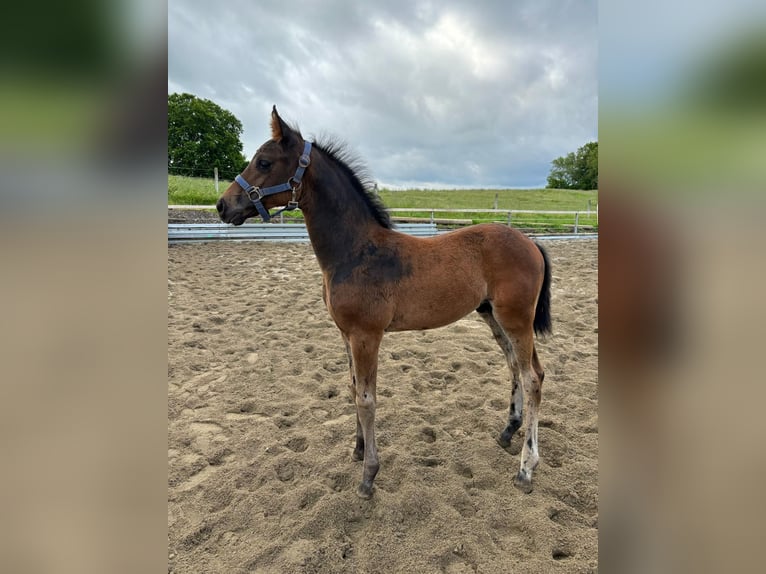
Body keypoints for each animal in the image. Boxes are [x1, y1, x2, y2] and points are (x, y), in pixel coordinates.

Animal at [216, 108, 552, 500]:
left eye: (264, 162)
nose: (222, 205)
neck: (355, 251)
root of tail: (531, 242)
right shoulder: (345, 334)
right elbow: (352, 389)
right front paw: (358, 448)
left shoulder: (366, 335)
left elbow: (367, 398)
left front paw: (368, 475)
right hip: (492, 315)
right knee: (515, 366)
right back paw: (507, 431)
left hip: (516, 318)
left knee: (532, 377)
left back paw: (526, 468)